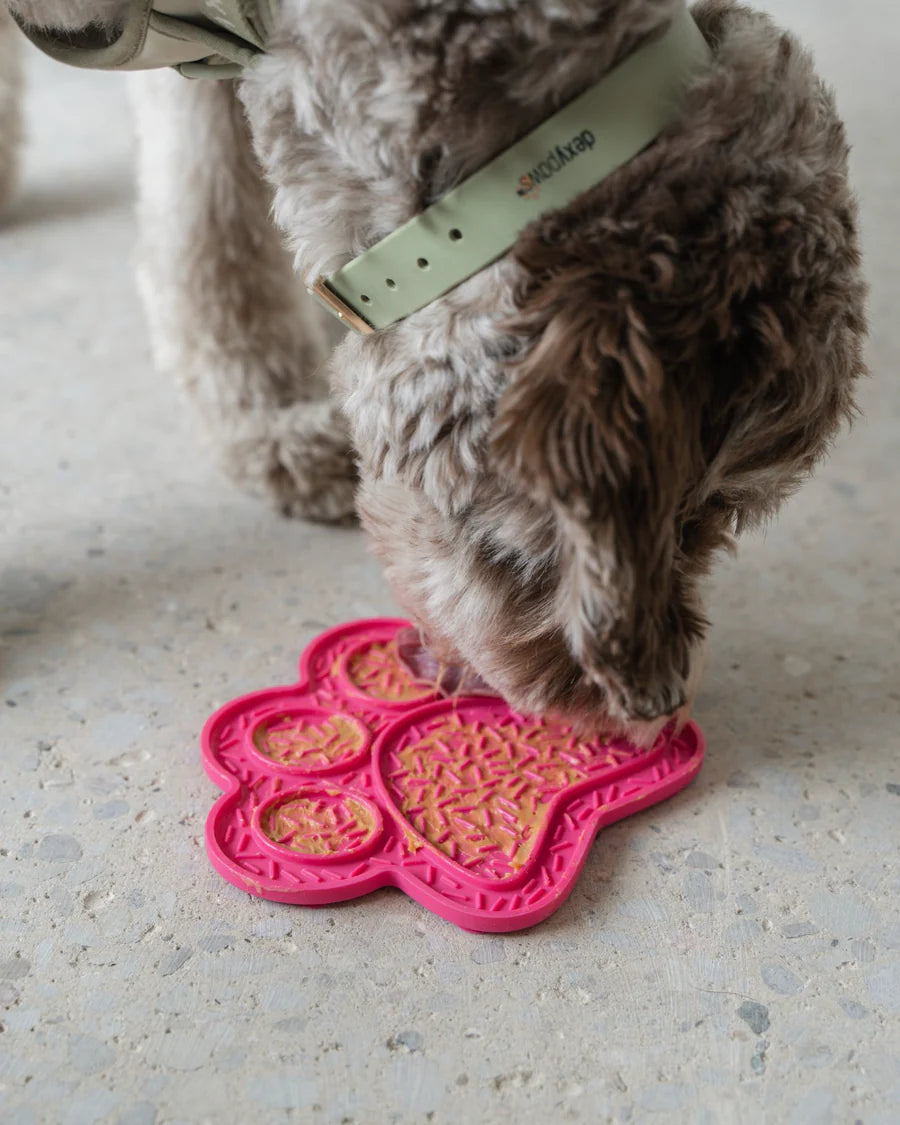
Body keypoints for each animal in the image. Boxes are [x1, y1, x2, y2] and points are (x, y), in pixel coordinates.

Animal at [1, 2, 873, 738]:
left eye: (718, 521)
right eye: (690, 514)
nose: (660, 710)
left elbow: (211, 204)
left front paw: (265, 412)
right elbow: (210, 201)